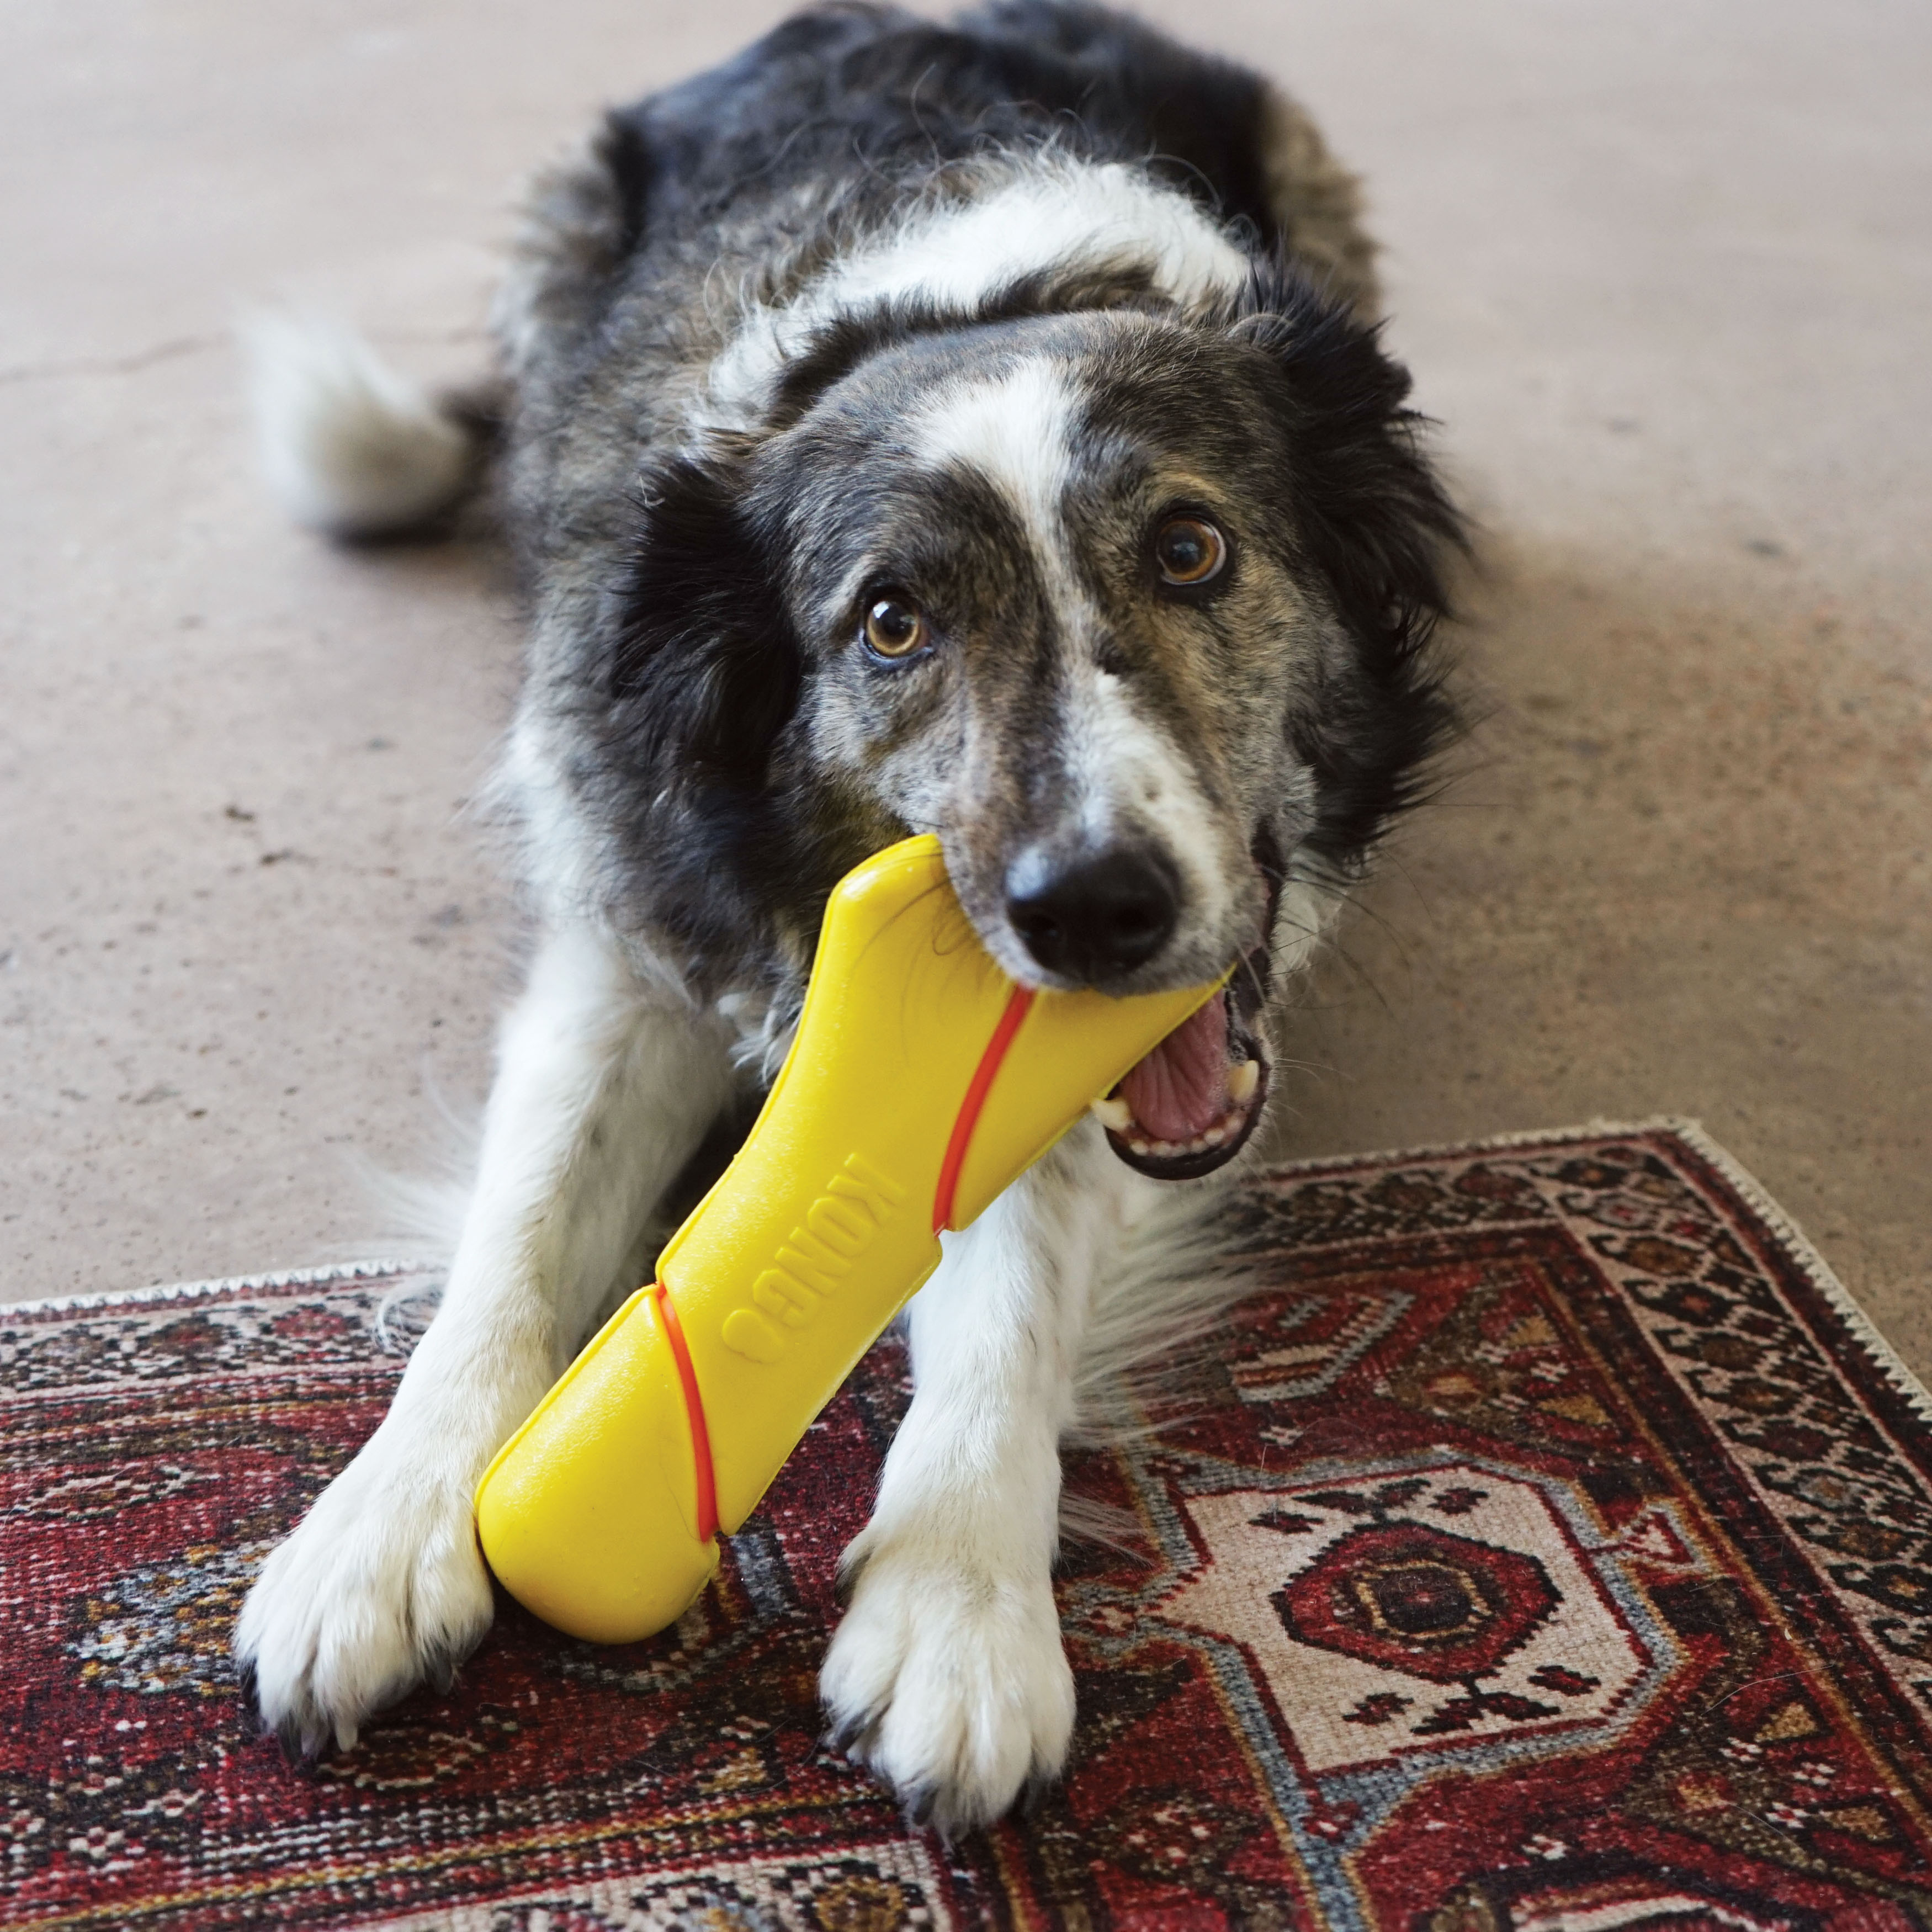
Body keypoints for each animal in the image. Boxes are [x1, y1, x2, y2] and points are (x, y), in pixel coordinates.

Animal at [233, 0, 1453, 1832]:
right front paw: (376, 1533)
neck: (961, 301)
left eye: (1188, 547)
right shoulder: (627, 924)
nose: (1091, 909)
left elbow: (1002, 1293)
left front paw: (958, 1609)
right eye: (890, 622)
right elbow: (517, 1240)